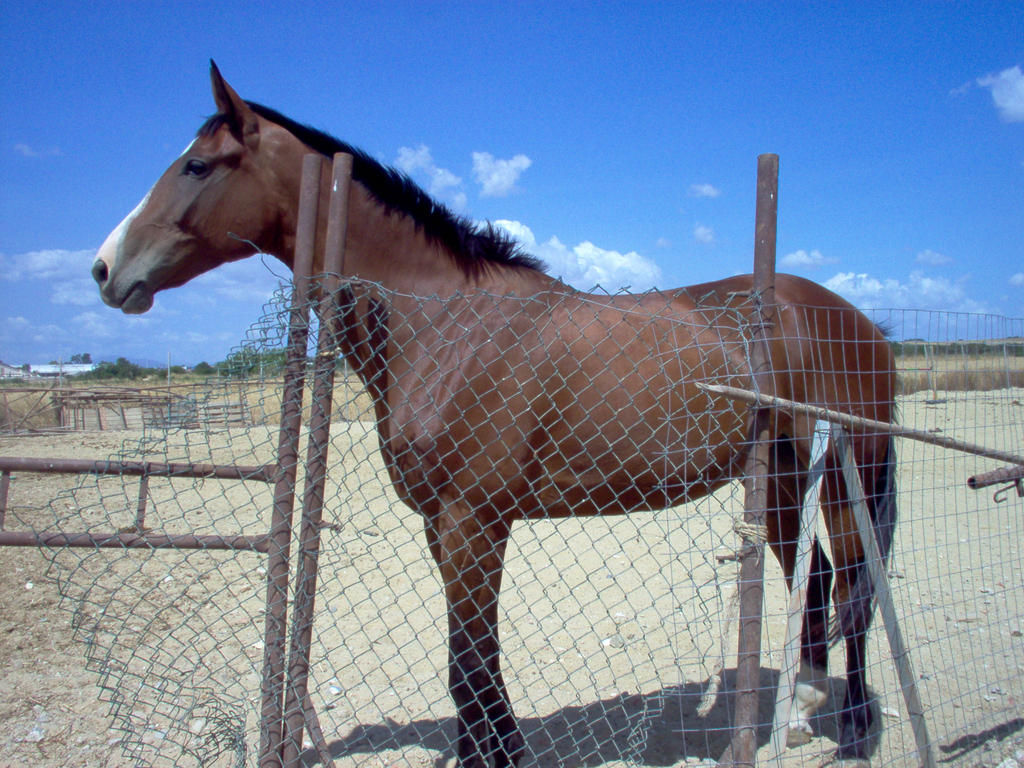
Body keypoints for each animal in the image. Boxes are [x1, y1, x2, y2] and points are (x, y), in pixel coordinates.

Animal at [94, 63, 897, 765]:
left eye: (198, 166)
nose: (105, 269)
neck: (444, 320)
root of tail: (856, 319)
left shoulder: (474, 522)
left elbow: (472, 665)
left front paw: (495, 756)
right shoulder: (439, 525)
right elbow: (467, 666)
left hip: (845, 476)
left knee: (854, 588)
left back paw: (855, 732)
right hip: (785, 484)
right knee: (817, 586)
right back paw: (796, 716)